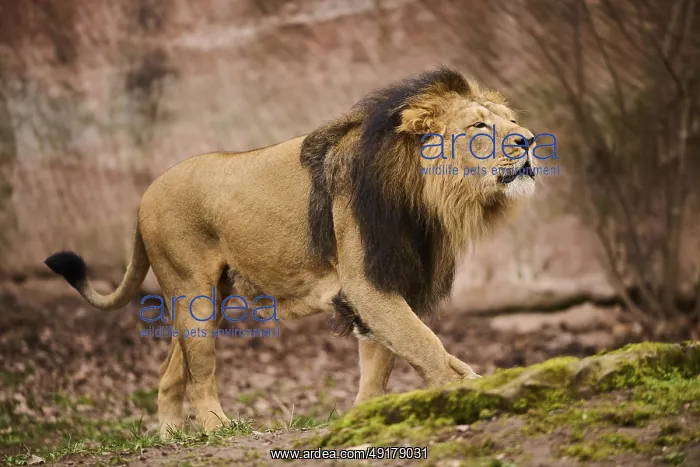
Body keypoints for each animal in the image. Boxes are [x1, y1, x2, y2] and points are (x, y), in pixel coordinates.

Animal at [44, 67, 536, 438]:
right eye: (478, 126)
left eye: (511, 121)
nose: (530, 140)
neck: (430, 198)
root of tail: (146, 193)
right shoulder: (367, 281)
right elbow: (424, 343)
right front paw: (460, 393)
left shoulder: (389, 280)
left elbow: (380, 366)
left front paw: (367, 419)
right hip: (191, 289)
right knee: (201, 370)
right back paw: (218, 427)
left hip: (215, 295)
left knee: (171, 371)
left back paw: (171, 438)